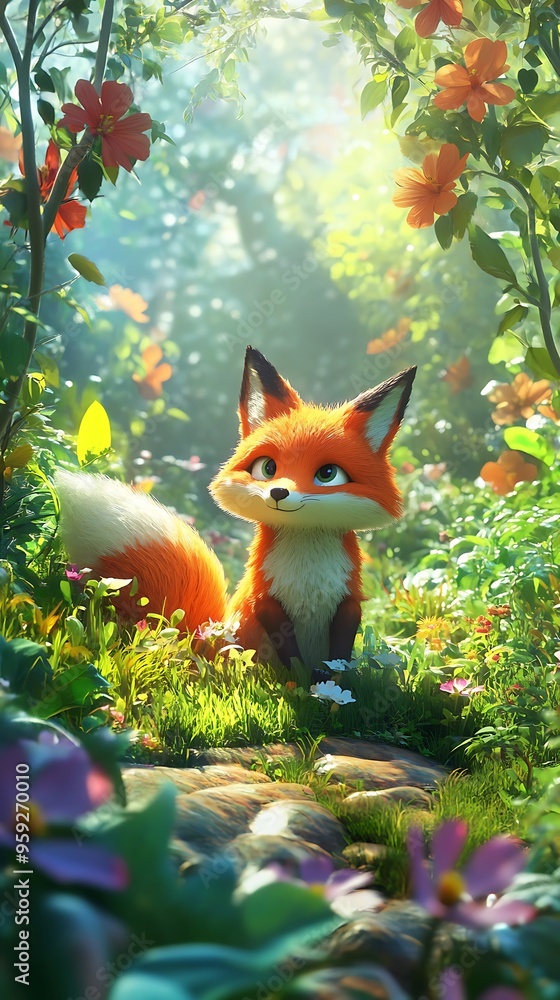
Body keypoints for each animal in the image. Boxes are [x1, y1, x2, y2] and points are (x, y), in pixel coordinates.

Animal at [55, 347, 416, 670]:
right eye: (267, 468)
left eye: (328, 474)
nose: (279, 492)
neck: (308, 571)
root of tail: (205, 641)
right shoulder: (264, 599)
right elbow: (293, 659)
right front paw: (302, 686)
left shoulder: (348, 600)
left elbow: (339, 656)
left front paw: (331, 685)